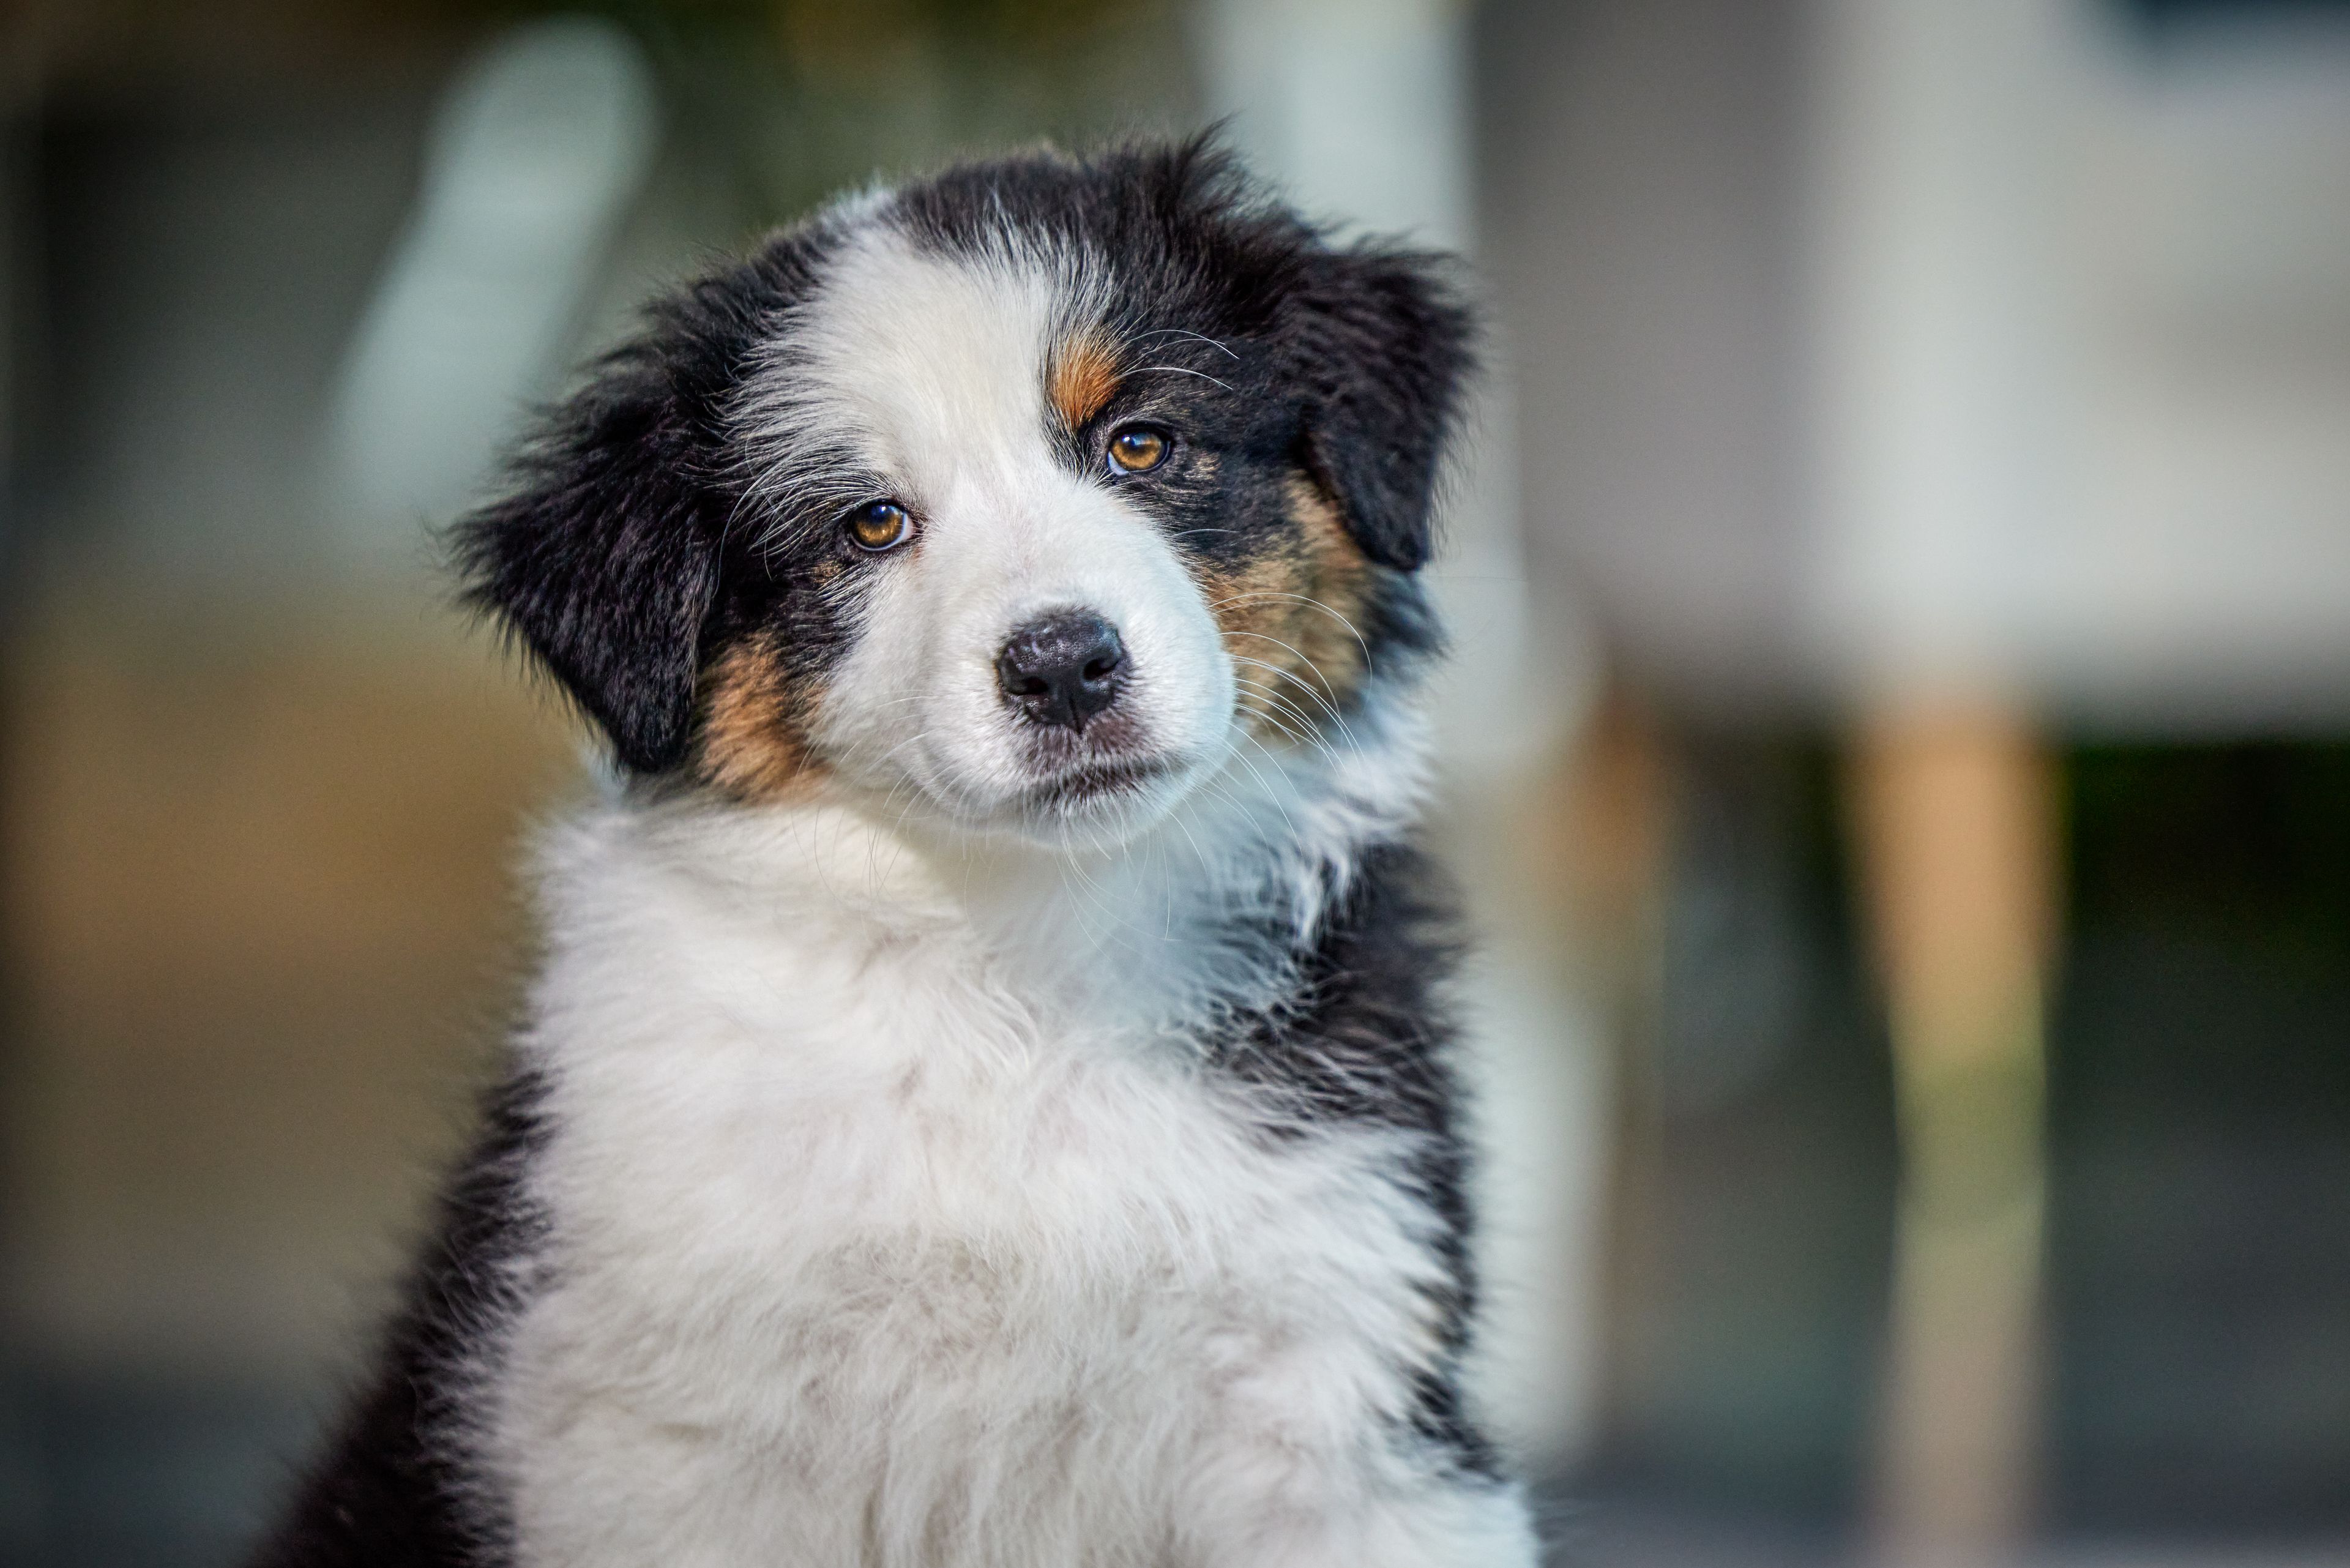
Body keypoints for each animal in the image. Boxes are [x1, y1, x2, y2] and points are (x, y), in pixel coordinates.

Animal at [252, 138, 1542, 1568]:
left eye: (1140, 442)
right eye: (870, 524)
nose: (1064, 666)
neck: (1024, 954)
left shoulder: (1341, 1396)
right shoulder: (666, 1433)